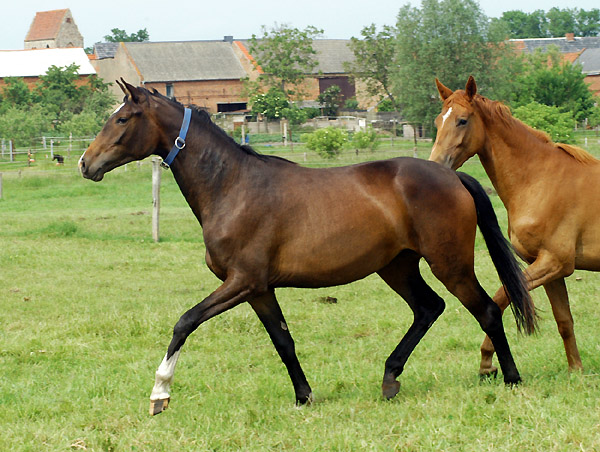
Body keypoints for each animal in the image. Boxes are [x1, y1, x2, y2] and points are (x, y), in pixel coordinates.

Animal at [79, 79, 536, 414]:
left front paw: (160, 394)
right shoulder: (259, 289)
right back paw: (390, 378)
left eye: (123, 119)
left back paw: (512, 378)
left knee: (487, 310)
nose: (86, 163)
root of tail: (453, 176)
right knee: (428, 308)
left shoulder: (241, 282)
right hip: (397, 267)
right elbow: (284, 342)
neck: (231, 186)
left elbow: (184, 322)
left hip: (450, 264)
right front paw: (304, 396)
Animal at [428, 76, 596, 376]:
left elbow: (501, 295)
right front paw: (575, 369)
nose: (434, 166)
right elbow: (564, 321)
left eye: (462, 120)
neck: (540, 180)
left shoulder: (553, 263)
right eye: (438, 121)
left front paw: (486, 361)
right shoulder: (550, 269)